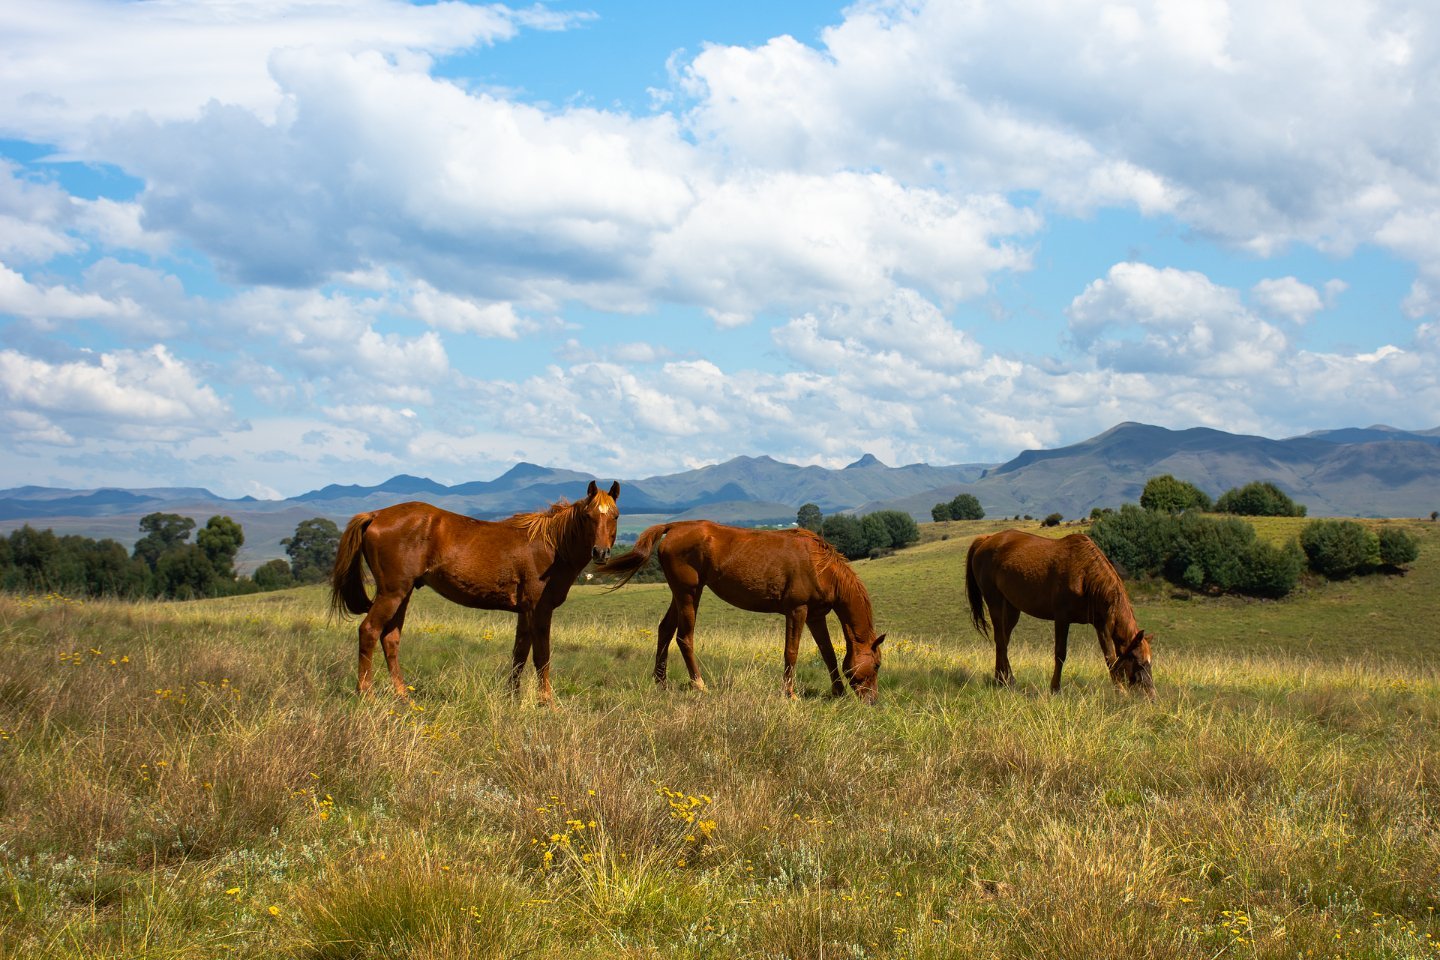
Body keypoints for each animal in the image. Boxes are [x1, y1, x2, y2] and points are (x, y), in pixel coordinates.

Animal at [329, 483, 622, 702]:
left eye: (615, 516)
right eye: (588, 516)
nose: (601, 552)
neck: (551, 544)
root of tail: (376, 514)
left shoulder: (525, 611)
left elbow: (519, 654)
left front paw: (512, 697)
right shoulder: (540, 609)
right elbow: (542, 656)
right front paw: (546, 701)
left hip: (402, 594)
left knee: (390, 638)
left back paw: (402, 694)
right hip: (392, 593)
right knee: (369, 631)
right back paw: (365, 693)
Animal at [590, 521, 881, 702]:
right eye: (877, 664)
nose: (873, 701)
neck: (821, 565)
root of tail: (674, 527)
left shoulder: (816, 615)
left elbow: (828, 654)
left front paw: (838, 692)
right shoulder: (797, 611)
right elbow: (792, 652)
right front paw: (790, 694)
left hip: (680, 594)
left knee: (665, 630)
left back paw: (661, 683)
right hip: (689, 593)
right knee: (684, 637)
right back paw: (699, 684)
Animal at [961, 529, 1152, 693]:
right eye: (1138, 661)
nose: (1151, 696)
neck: (1085, 575)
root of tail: (986, 540)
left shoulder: (1101, 624)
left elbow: (1109, 657)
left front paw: (1120, 692)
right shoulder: (1062, 619)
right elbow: (1060, 654)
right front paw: (1055, 688)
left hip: (1011, 607)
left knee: (1004, 641)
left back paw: (1002, 680)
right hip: (994, 601)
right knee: (1000, 639)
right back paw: (1005, 680)